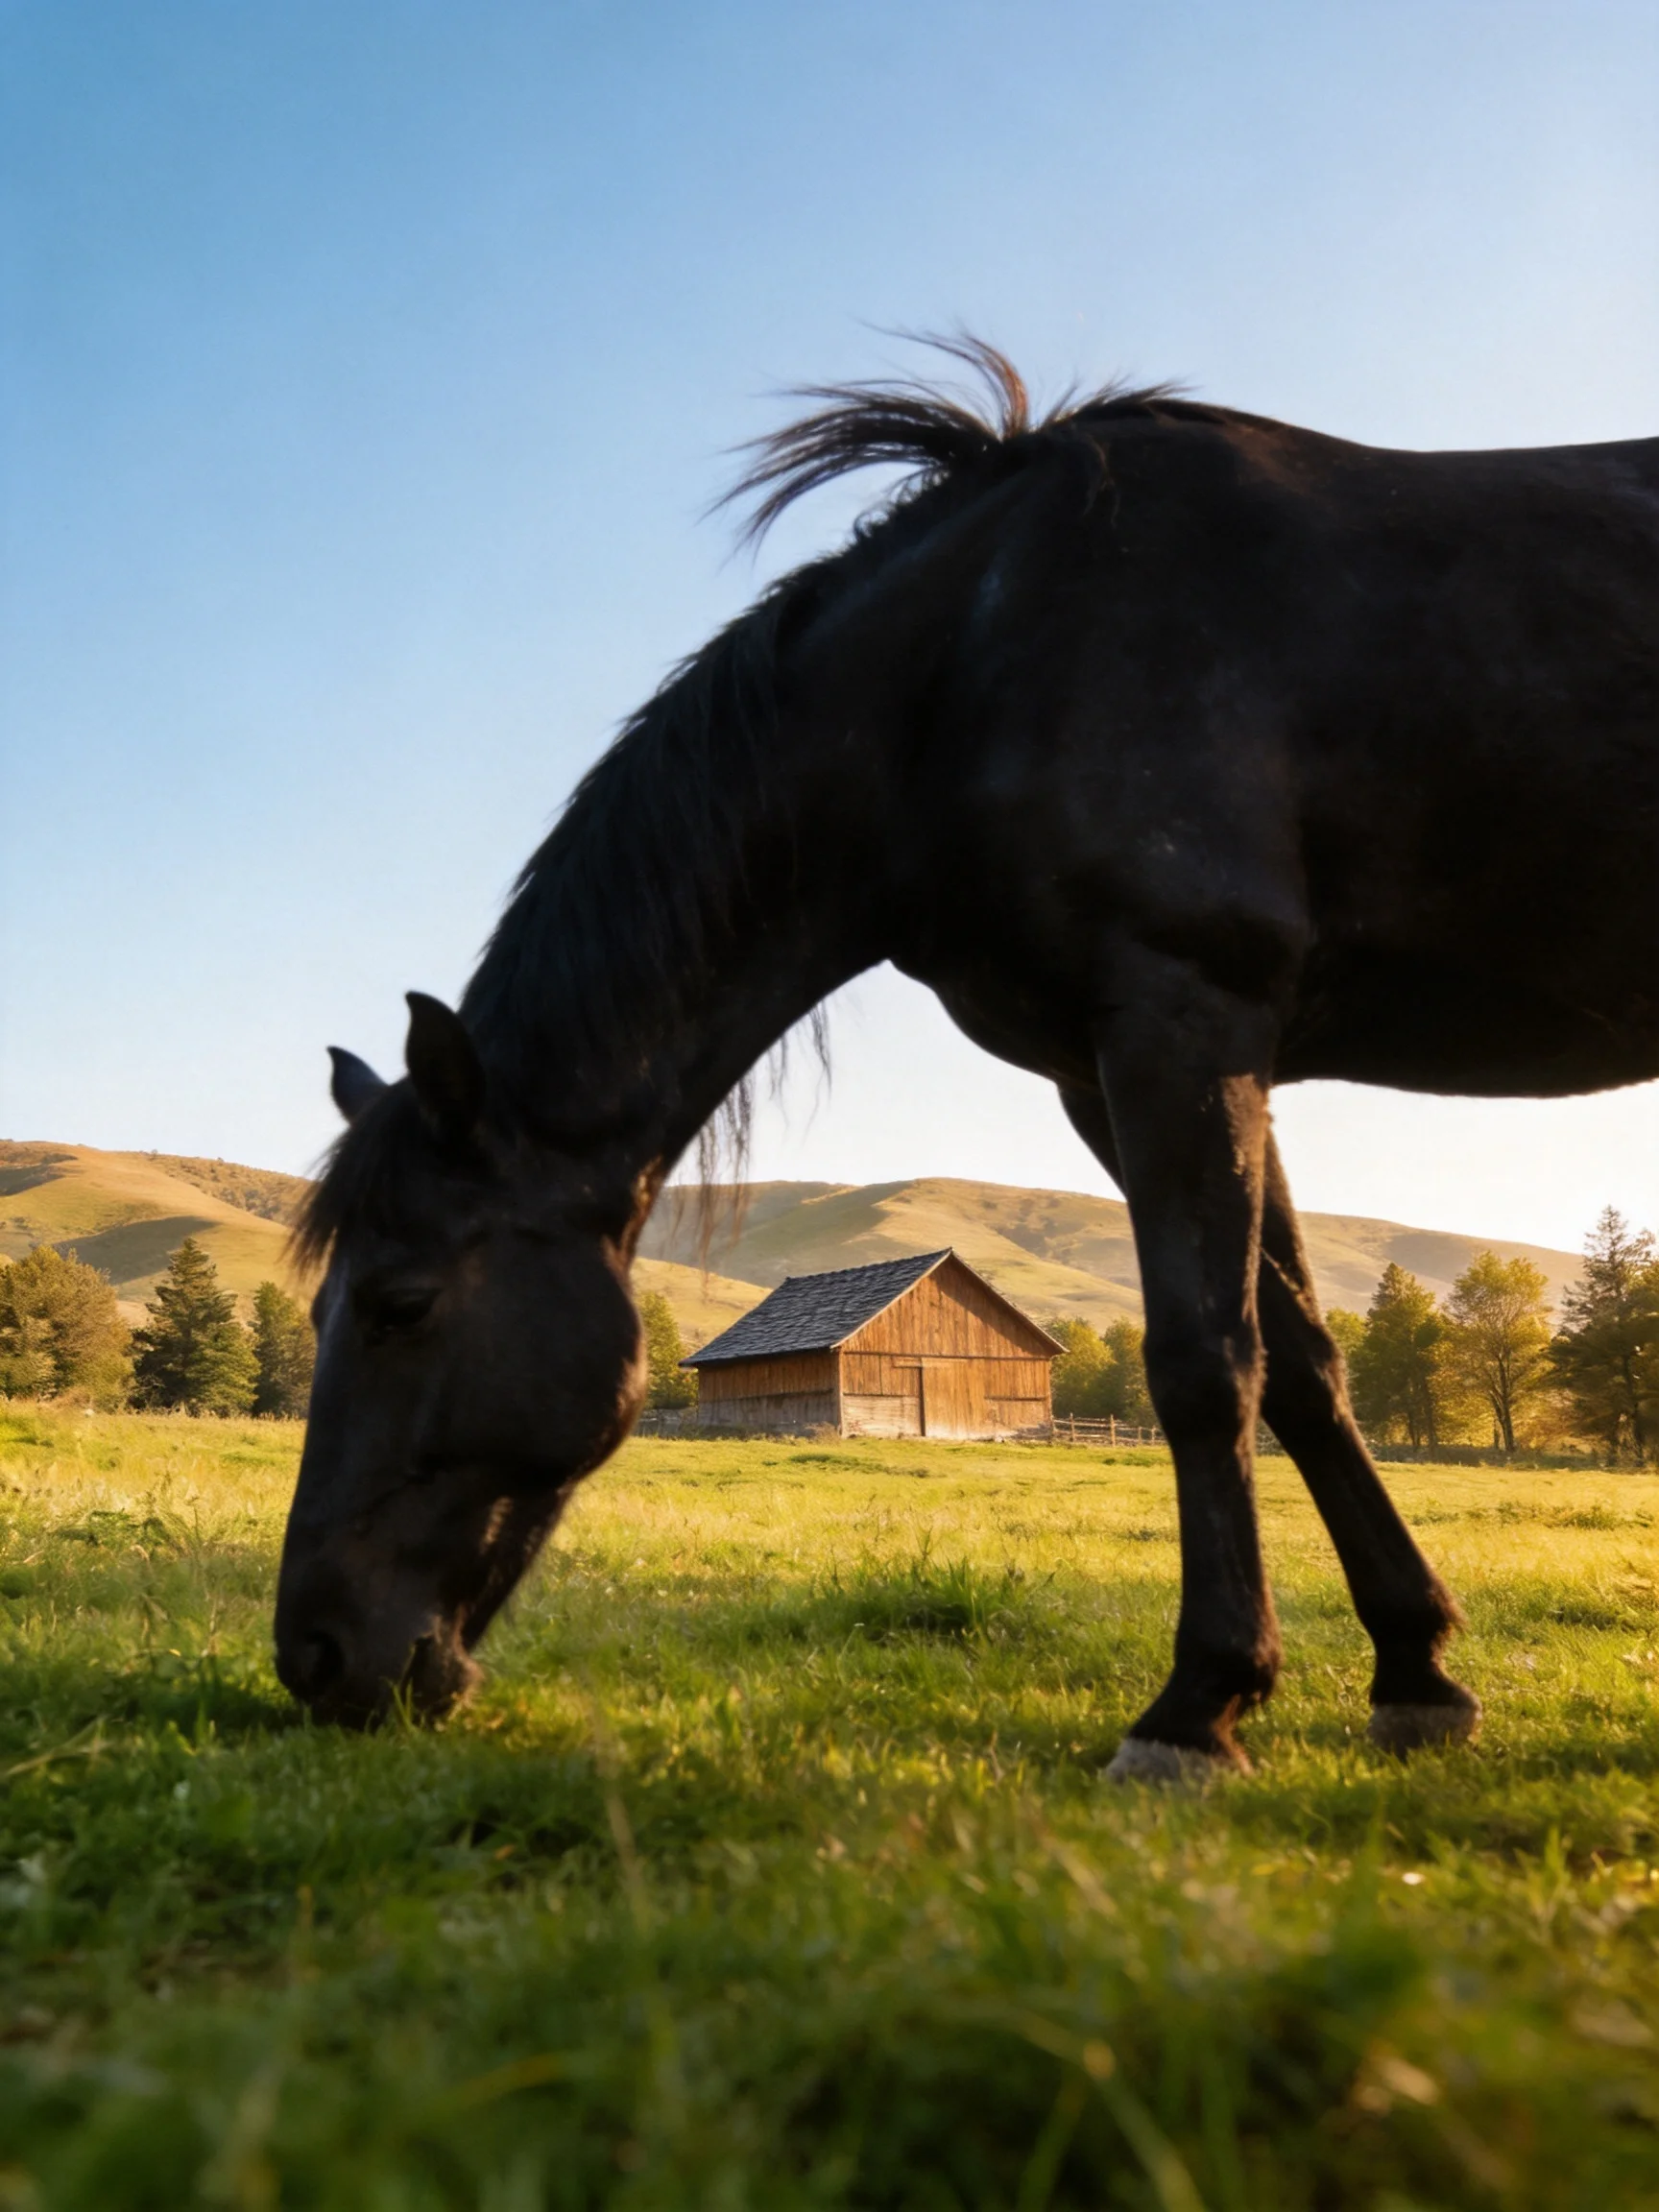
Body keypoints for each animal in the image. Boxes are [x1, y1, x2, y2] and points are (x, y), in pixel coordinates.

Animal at [276, 337, 1659, 1778]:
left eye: (400, 1304)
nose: (311, 1656)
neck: (974, 669)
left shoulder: (1181, 1022)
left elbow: (1203, 1363)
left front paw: (1197, 1705)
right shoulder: (1121, 1070)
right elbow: (1302, 1367)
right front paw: (1416, 1670)